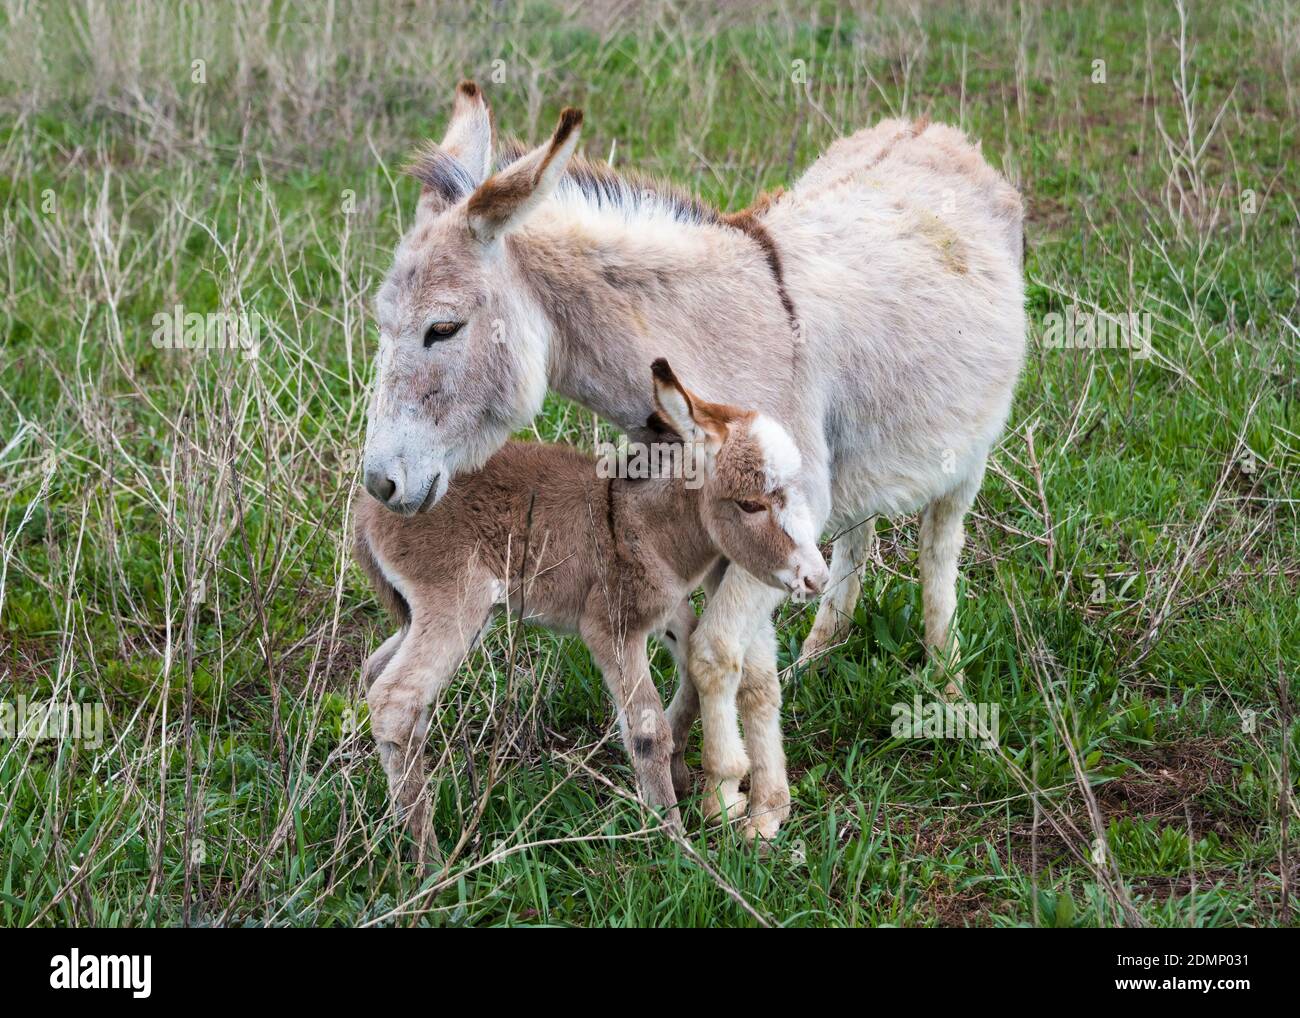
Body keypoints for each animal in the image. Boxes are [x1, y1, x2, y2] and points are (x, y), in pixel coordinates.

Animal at [351, 361, 826, 858]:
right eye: (751, 504)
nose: (817, 579)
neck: (639, 522)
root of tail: (368, 513)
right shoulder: (610, 627)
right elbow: (646, 730)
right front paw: (673, 839)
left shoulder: (666, 613)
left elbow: (691, 674)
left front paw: (681, 782)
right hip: (455, 602)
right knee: (395, 700)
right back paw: (425, 859)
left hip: (435, 614)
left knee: (376, 674)